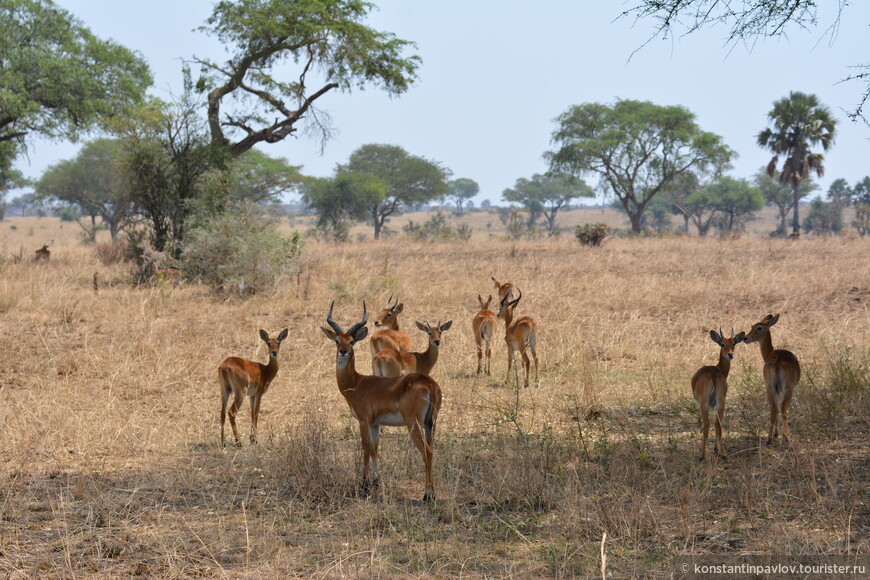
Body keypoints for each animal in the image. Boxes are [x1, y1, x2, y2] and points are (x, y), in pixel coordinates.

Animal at [320, 302, 442, 500]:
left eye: (351, 341)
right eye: (337, 340)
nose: (343, 352)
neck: (356, 383)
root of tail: (429, 384)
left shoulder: (363, 421)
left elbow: (366, 448)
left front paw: (364, 485)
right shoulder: (375, 423)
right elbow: (375, 447)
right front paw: (376, 481)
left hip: (413, 424)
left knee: (427, 451)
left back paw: (427, 495)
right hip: (430, 423)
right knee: (431, 449)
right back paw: (430, 493)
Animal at [692, 328, 744, 460]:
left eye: (733, 344)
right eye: (723, 344)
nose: (730, 354)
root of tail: (714, 375)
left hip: (704, 405)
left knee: (707, 425)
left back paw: (702, 455)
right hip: (721, 403)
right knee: (718, 425)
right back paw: (723, 454)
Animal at [744, 312, 804, 444]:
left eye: (759, 327)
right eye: (752, 326)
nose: (745, 338)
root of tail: (777, 361)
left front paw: (776, 434)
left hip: (769, 388)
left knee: (774, 408)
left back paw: (769, 438)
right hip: (788, 389)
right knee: (782, 407)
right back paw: (787, 437)